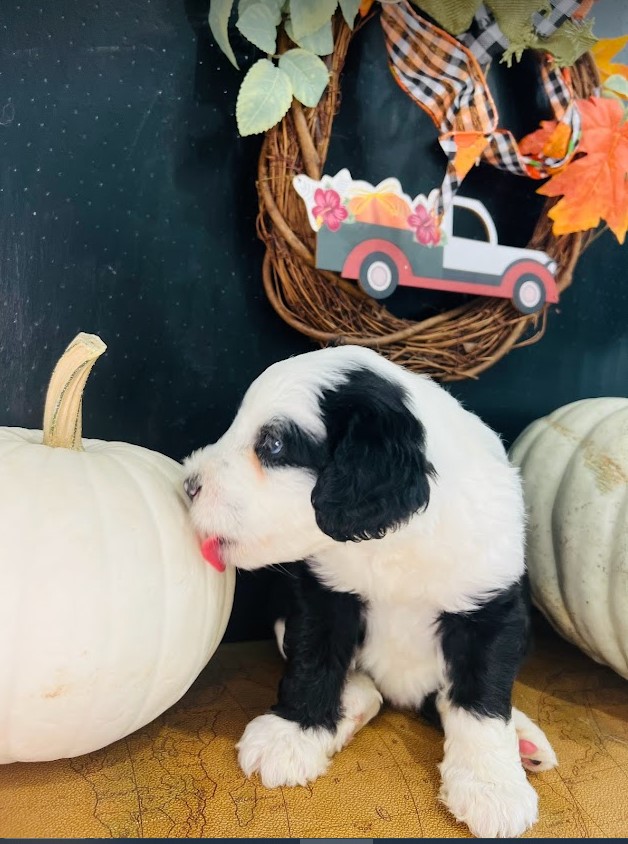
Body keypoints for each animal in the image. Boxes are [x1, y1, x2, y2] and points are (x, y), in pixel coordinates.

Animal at [184, 344, 556, 836]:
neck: (392, 540)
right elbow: (314, 662)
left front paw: (491, 786)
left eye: (274, 445)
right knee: (369, 690)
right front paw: (294, 734)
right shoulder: (322, 593)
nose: (188, 484)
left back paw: (523, 739)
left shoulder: (491, 606)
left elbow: (481, 699)